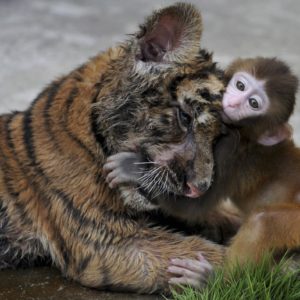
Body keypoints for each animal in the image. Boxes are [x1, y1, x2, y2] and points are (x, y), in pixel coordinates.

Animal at [103, 56, 298, 288]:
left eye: (253, 103)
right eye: (240, 85)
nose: (232, 103)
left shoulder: (229, 151)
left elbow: (193, 203)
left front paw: (133, 168)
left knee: (263, 221)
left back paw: (213, 280)